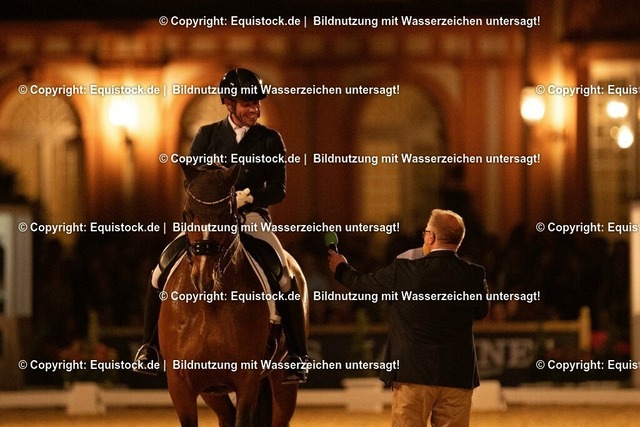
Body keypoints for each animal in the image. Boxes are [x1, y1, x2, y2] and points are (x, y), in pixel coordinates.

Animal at [158, 163, 308, 427]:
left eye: (227, 216)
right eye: (188, 214)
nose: (203, 277)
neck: (207, 306)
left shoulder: (247, 381)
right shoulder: (180, 385)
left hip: (282, 383)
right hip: (212, 392)